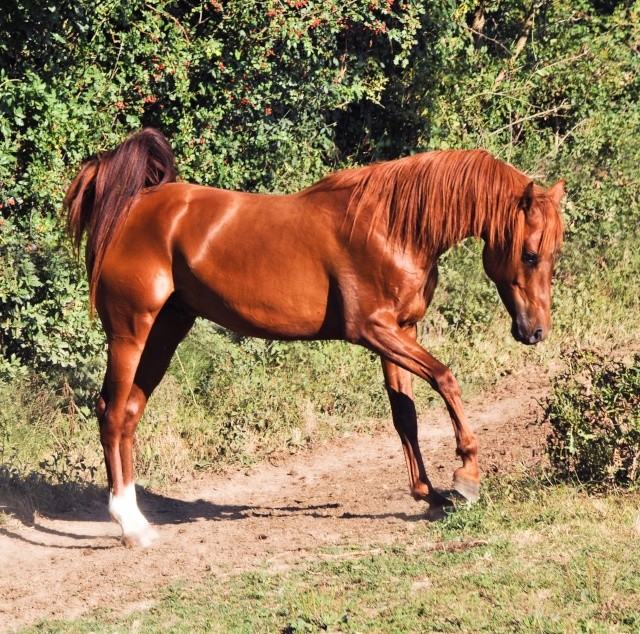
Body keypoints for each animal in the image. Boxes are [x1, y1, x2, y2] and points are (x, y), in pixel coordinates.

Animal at [65, 128, 564, 544]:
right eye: (530, 254)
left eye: (553, 252)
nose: (536, 331)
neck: (393, 226)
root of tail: (133, 205)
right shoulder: (374, 330)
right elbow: (446, 379)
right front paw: (467, 475)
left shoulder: (400, 330)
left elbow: (405, 415)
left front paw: (428, 493)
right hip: (130, 330)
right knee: (112, 413)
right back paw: (129, 526)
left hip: (166, 330)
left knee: (129, 413)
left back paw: (138, 518)